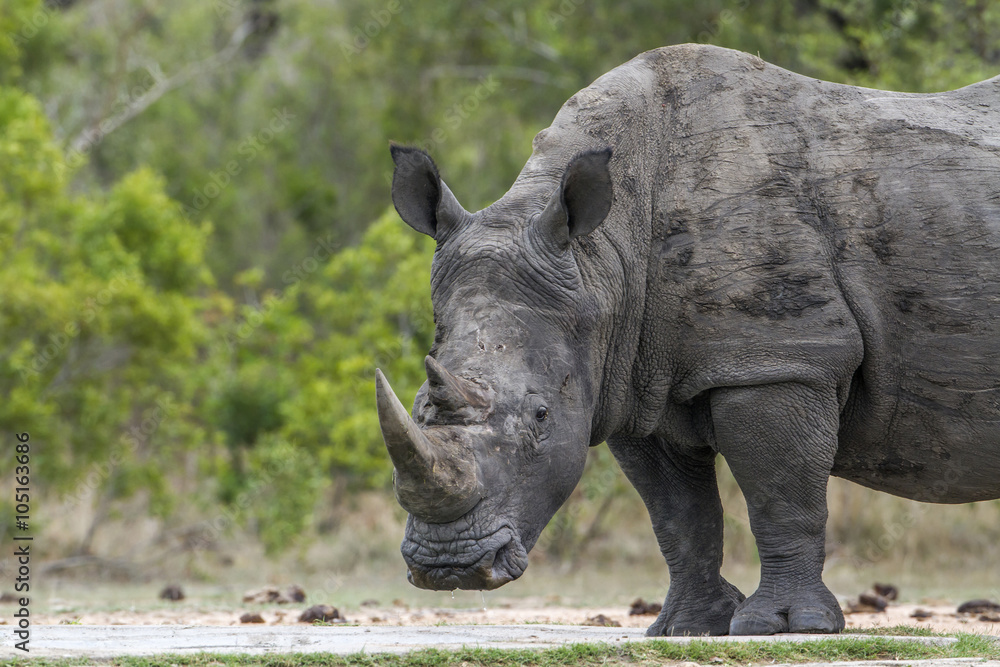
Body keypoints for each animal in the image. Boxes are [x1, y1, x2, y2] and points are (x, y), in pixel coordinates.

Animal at [376, 44, 1000, 636]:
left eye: (540, 417)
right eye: (417, 405)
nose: (449, 566)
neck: (600, 258)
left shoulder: (776, 359)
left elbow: (782, 497)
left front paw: (785, 626)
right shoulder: (633, 381)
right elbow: (678, 516)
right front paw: (687, 627)